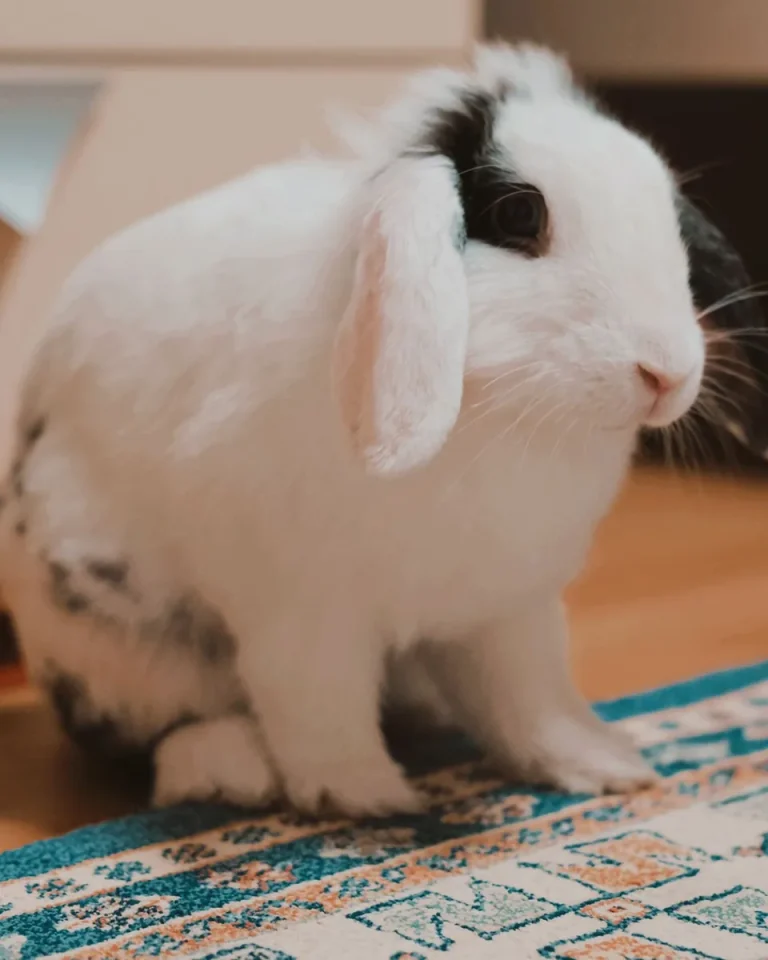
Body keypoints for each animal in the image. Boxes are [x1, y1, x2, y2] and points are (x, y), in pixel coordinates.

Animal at [0, 43, 752, 817]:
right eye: (520, 212)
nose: (666, 372)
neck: (501, 414)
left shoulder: (509, 611)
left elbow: (531, 699)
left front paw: (606, 765)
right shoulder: (302, 611)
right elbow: (317, 705)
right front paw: (369, 800)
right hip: (119, 646)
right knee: (166, 727)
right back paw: (230, 770)